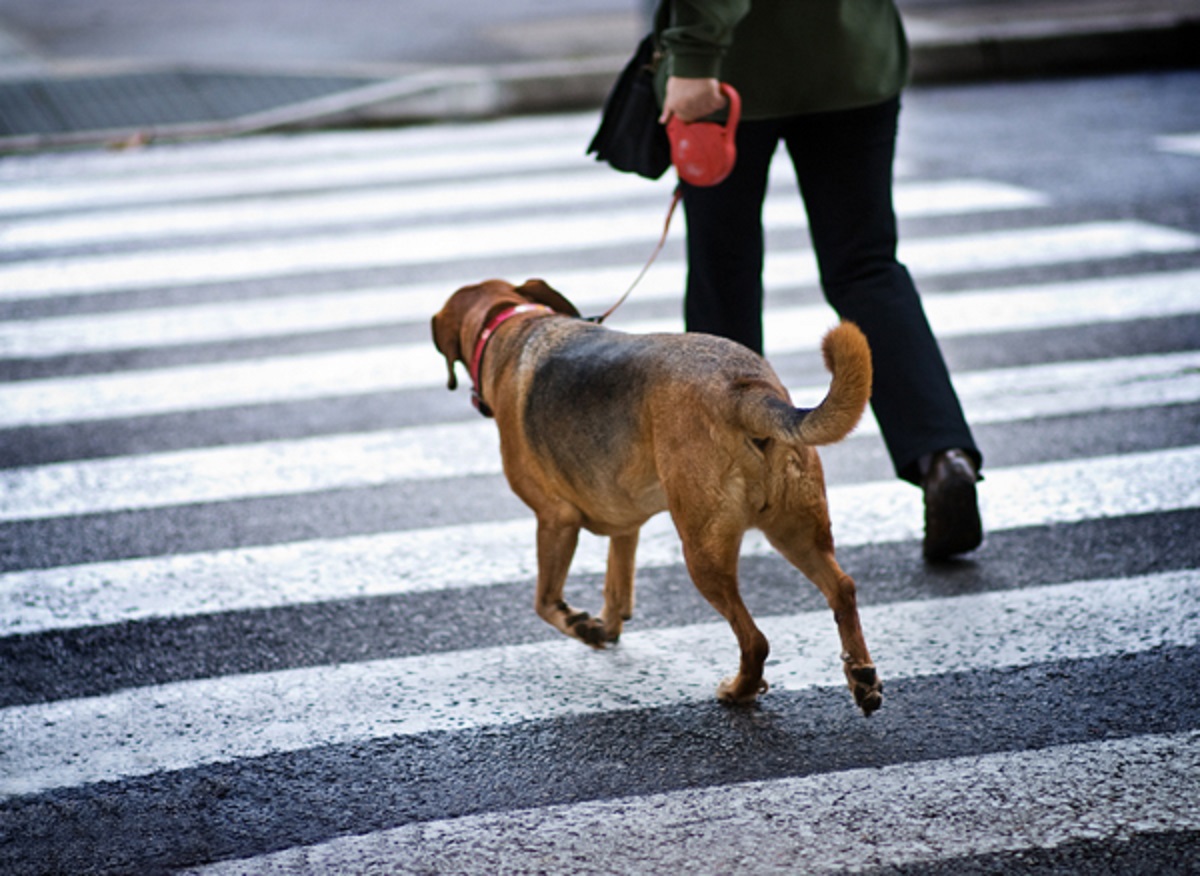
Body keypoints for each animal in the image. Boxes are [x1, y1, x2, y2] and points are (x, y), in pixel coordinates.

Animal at [432, 278, 883, 710]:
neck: (513, 323)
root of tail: (744, 391)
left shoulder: (555, 521)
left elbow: (545, 601)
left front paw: (582, 626)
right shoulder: (622, 523)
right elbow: (615, 585)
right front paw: (606, 627)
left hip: (703, 552)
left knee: (755, 640)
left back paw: (740, 691)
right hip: (796, 530)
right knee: (842, 589)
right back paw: (861, 675)